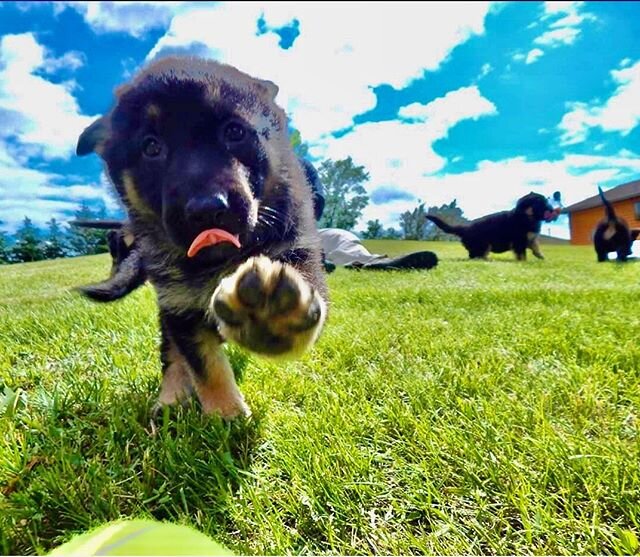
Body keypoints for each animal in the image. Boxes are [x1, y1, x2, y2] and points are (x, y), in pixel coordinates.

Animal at [76, 57, 330, 422]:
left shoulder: (296, 251)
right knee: (171, 353)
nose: (207, 210)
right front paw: (226, 414)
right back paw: (171, 397)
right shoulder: (178, 303)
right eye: (151, 147)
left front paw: (270, 319)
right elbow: (203, 364)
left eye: (234, 132)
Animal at [428, 192, 564, 260]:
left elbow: (536, 247)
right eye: (540, 203)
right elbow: (522, 254)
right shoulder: (519, 241)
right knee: (475, 255)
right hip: (483, 244)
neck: (525, 216)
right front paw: (524, 262)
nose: (553, 210)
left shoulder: (530, 238)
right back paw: (485, 260)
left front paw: (541, 256)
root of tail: (465, 228)